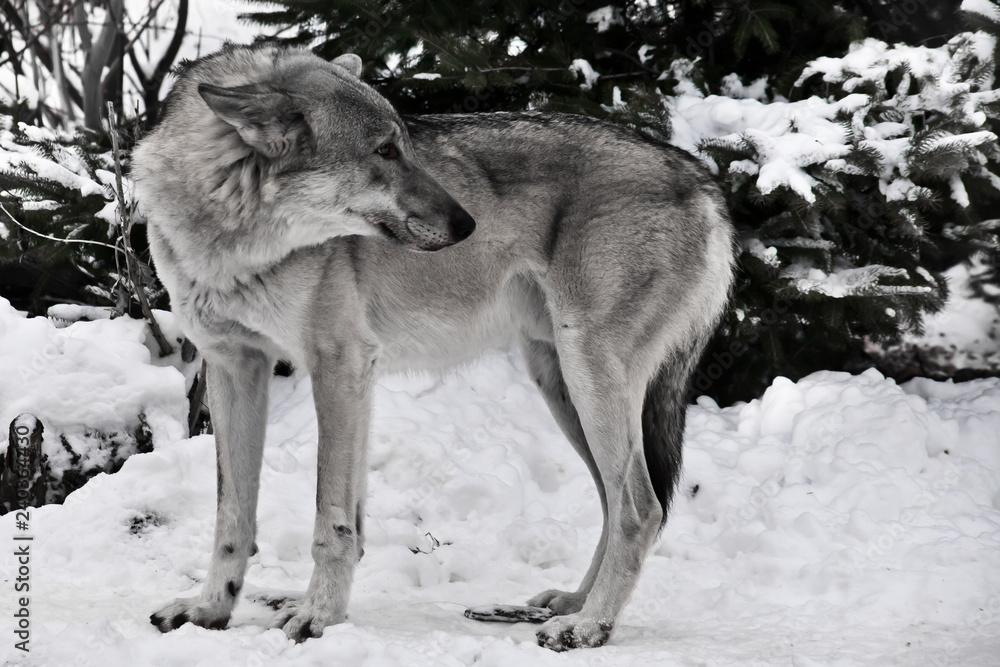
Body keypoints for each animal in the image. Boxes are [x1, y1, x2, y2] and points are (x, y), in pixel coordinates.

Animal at [133, 43, 735, 651]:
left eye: (405, 143)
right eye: (384, 150)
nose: (469, 224)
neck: (233, 244)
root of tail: (703, 179)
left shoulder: (340, 366)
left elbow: (331, 520)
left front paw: (318, 616)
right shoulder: (235, 366)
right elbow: (233, 516)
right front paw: (209, 610)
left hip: (588, 374)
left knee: (641, 508)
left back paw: (588, 627)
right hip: (560, 381)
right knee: (616, 503)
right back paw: (572, 603)